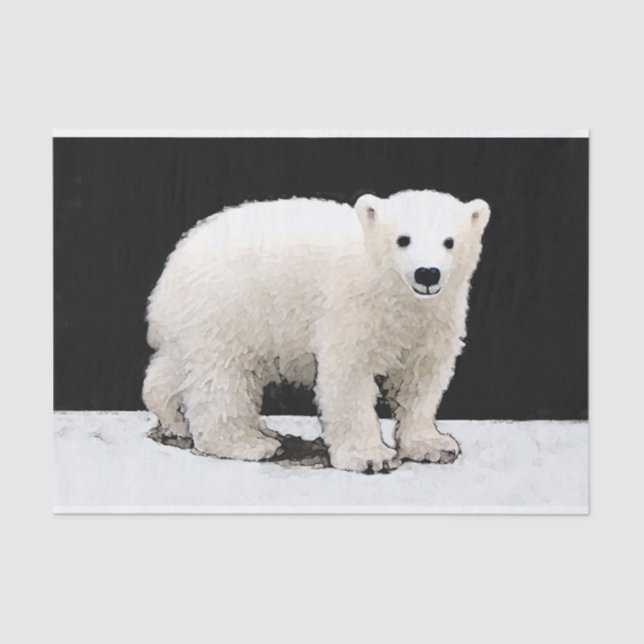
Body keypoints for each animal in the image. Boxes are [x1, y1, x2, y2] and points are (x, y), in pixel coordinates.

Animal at [143, 190, 490, 473]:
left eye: (449, 241)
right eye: (403, 239)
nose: (427, 273)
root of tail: (170, 270)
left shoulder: (436, 320)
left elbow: (421, 380)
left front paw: (434, 445)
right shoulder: (352, 306)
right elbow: (349, 376)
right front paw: (370, 456)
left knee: (175, 370)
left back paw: (177, 420)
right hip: (228, 307)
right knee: (222, 378)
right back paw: (248, 442)